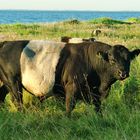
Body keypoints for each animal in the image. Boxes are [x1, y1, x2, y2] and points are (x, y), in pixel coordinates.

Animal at [0, 39, 139, 116]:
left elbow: (97, 107)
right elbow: (69, 106)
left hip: (7, 82)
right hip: (13, 82)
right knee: (17, 101)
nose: (123, 73)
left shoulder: (94, 93)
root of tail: (6, 43)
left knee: (1, 95)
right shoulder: (72, 86)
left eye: (128, 59)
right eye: (112, 60)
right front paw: (68, 119)